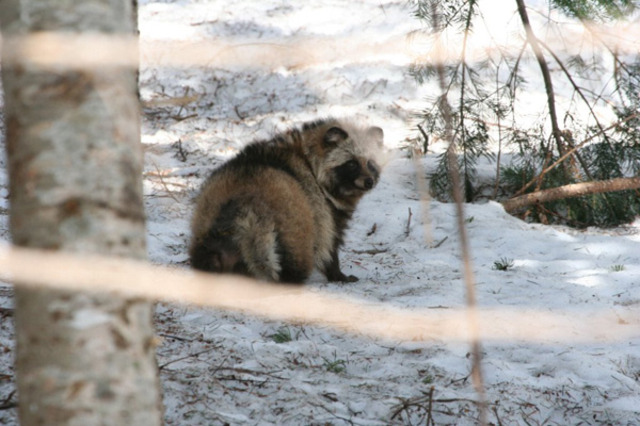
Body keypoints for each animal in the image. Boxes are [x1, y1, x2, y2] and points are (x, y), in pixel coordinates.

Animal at [188, 117, 382, 282]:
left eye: (371, 163)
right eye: (352, 163)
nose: (369, 182)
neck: (307, 155)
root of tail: (247, 202)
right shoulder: (321, 207)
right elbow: (329, 242)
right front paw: (337, 274)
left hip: (210, 223)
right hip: (291, 223)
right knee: (295, 260)